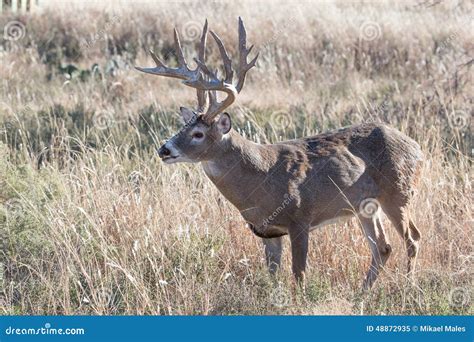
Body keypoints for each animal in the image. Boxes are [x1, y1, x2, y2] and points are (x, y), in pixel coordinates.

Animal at [136, 18, 422, 290]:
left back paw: (407, 287)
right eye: (182, 126)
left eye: (198, 134)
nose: (164, 149)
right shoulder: (268, 232)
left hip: (398, 193)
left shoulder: (300, 217)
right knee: (383, 247)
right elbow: (272, 276)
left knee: (412, 239)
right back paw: (362, 294)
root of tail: (417, 148)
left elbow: (299, 274)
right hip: (367, 206)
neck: (260, 176)